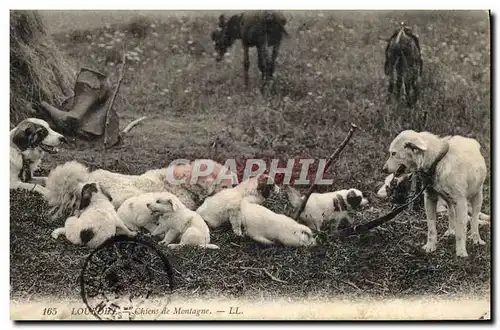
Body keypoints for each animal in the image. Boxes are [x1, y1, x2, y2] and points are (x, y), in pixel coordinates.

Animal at [382, 130, 488, 258]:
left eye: (393, 153)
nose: (383, 169)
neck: (437, 161)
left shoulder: (460, 203)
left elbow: (461, 230)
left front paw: (461, 252)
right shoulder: (429, 199)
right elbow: (431, 227)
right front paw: (431, 246)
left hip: (477, 196)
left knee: (475, 219)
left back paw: (476, 238)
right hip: (448, 200)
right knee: (451, 213)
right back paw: (451, 230)